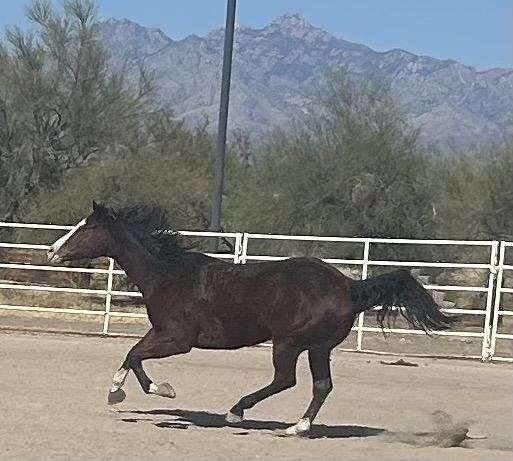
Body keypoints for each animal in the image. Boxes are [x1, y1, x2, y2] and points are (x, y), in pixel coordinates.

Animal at [46, 201, 450, 434]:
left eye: (87, 227)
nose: (52, 251)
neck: (168, 274)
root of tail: (349, 287)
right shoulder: (162, 333)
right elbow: (134, 355)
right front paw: (135, 390)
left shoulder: (178, 338)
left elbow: (132, 354)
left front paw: (130, 391)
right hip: (319, 347)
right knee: (321, 385)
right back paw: (298, 427)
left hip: (289, 342)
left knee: (285, 379)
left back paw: (236, 414)